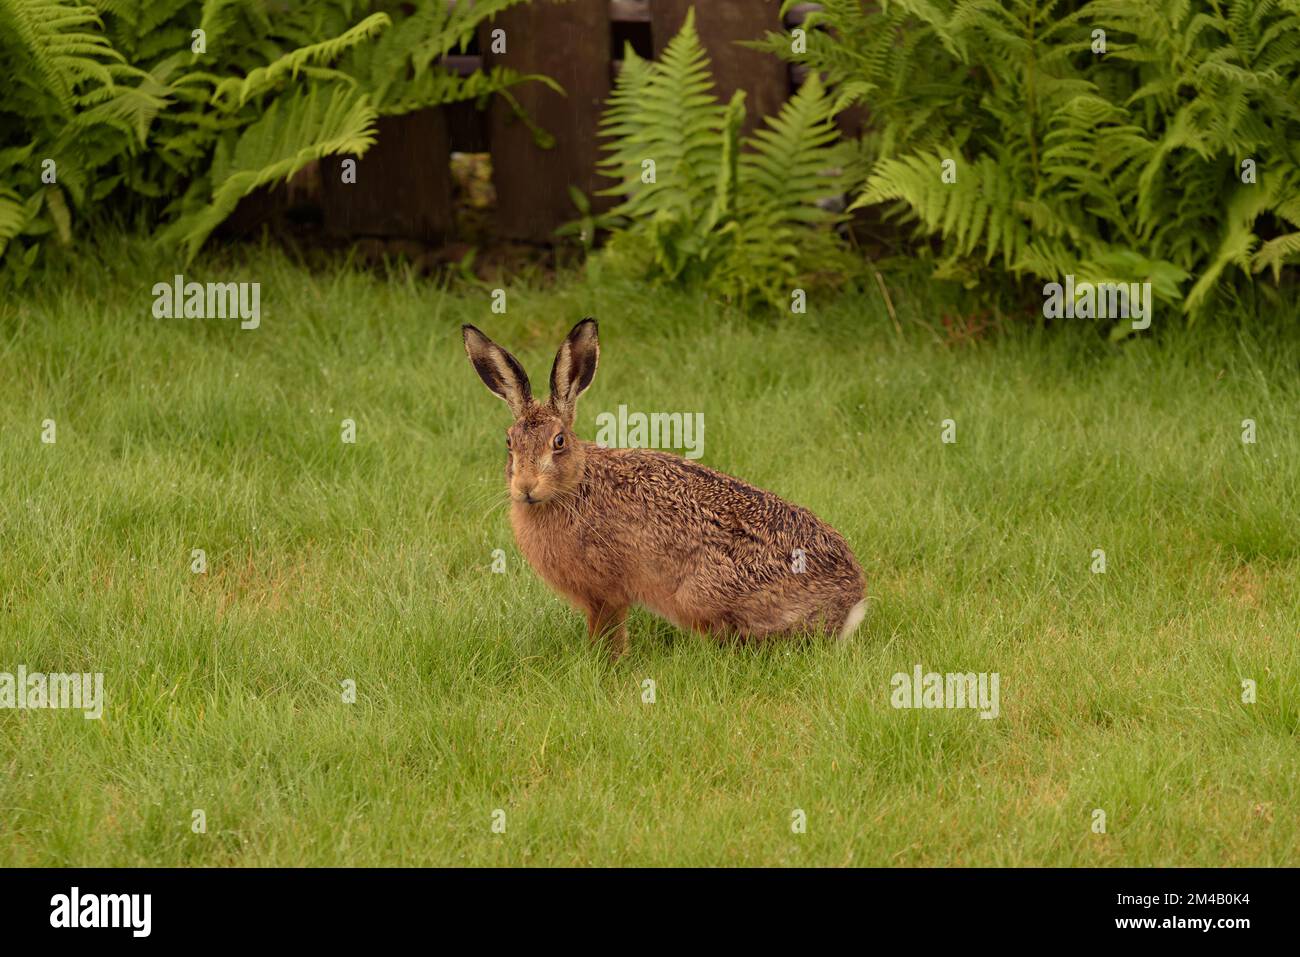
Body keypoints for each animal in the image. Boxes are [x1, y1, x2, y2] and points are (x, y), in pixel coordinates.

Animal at [462, 317, 867, 659]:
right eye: (509, 443)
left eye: (558, 442)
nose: (526, 488)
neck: (575, 485)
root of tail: (850, 603)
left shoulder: (605, 593)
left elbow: (608, 632)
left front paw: (606, 664)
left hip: (704, 595)